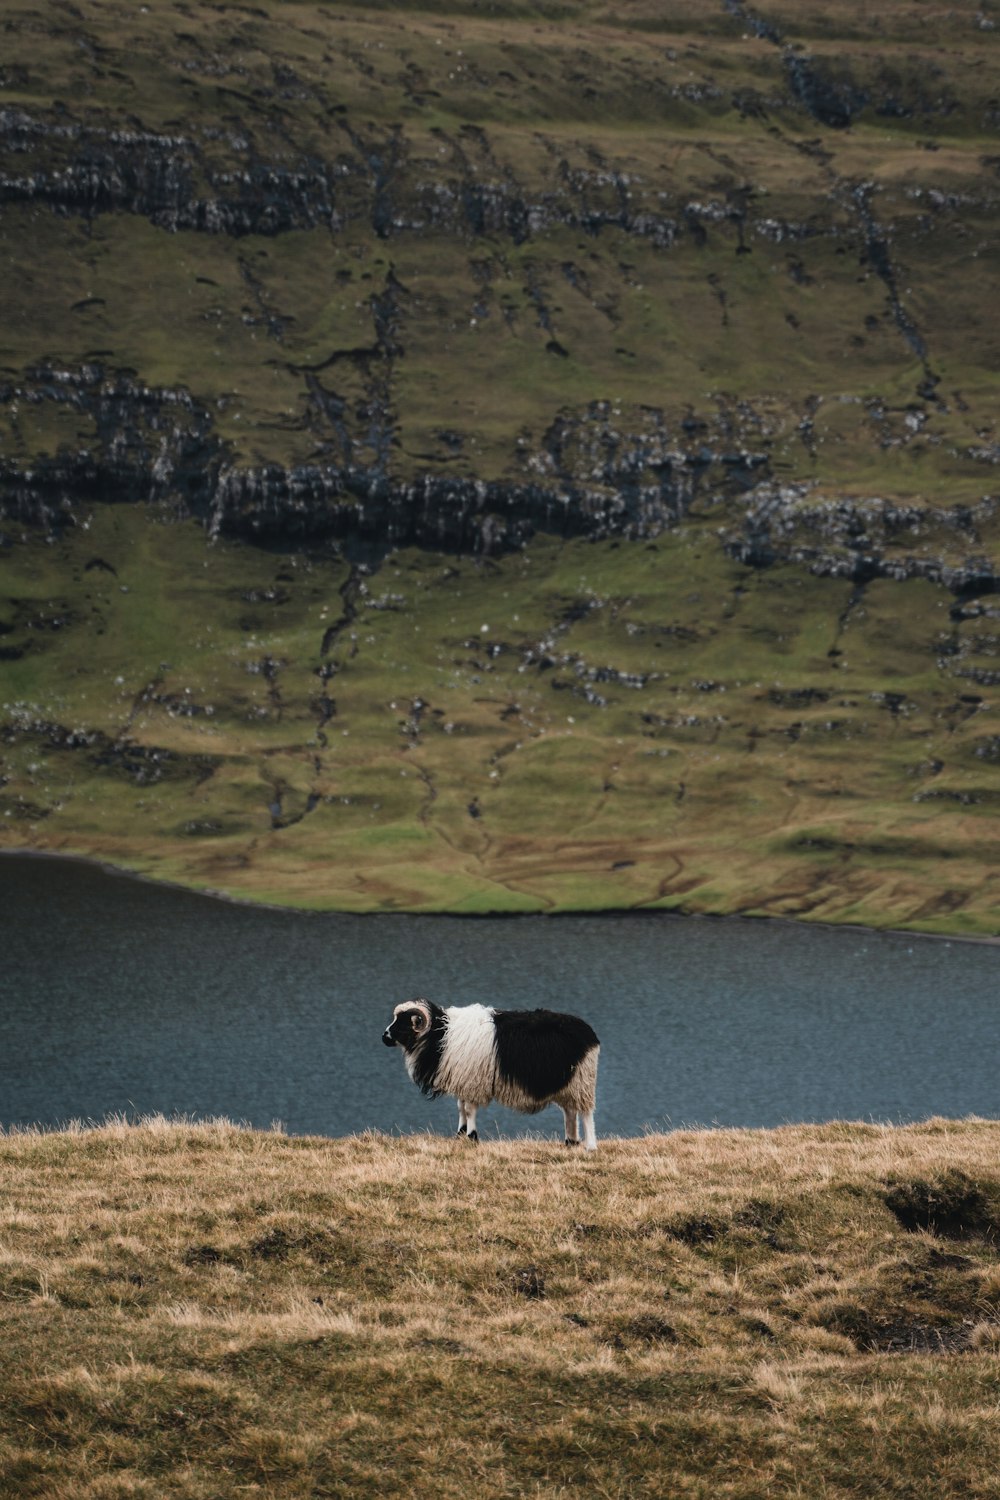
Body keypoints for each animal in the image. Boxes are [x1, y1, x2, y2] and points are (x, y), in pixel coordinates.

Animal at [380, 996, 602, 1146]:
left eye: (403, 1022)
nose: (384, 1037)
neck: (440, 1036)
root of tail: (590, 1034)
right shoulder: (463, 1080)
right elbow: (461, 1108)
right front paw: (460, 1134)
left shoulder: (472, 1081)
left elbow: (469, 1110)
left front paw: (472, 1137)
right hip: (568, 1083)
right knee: (570, 1112)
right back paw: (570, 1142)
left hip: (582, 1081)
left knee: (586, 1114)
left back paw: (589, 1146)